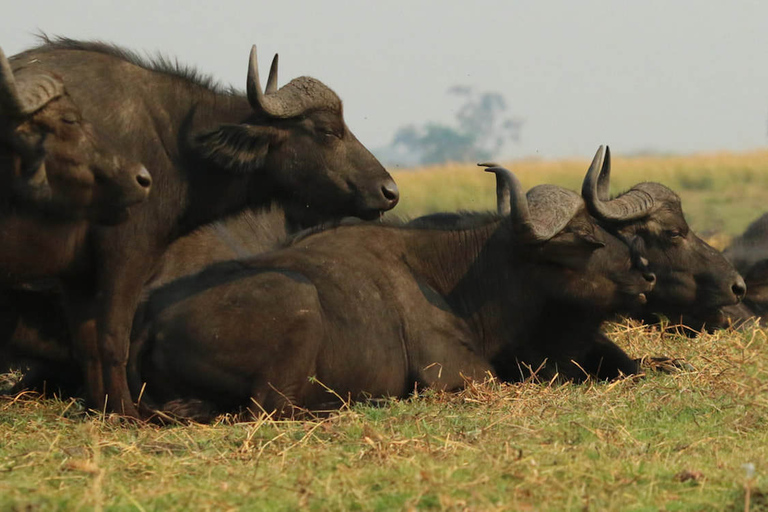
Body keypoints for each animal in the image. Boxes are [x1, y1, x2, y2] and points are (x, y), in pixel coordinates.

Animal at [9, 37, 400, 416]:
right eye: (328, 131)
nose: (389, 192)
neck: (173, 146)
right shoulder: (124, 254)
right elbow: (112, 338)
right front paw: (124, 413)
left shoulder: (78, 274)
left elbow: (87, 342)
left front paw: (101, 407)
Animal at [130, 164, 656, 420]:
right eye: (584, 239)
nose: (647, 275)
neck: (449, 278)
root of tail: (150, 317)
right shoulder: (459, 374)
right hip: (299, 307)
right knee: (273, 408)